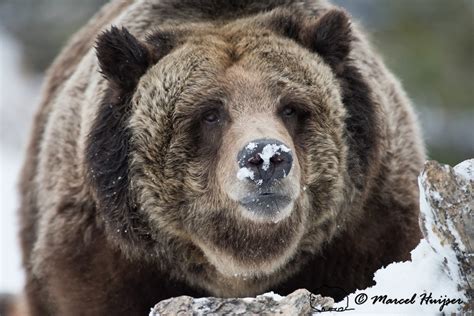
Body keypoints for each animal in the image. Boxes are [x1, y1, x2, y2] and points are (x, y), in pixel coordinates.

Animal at [18, 0, 426, 314]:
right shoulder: (101, 258)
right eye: (210, 113)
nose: (266, 157)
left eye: (291, 108)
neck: (237, 268)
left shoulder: (368, 228)